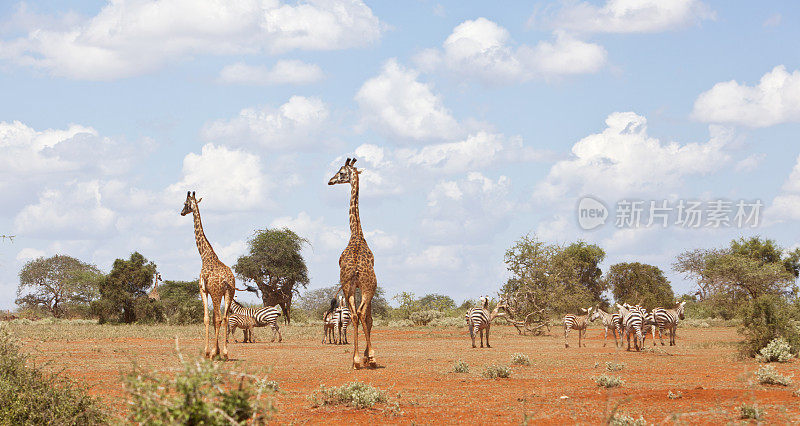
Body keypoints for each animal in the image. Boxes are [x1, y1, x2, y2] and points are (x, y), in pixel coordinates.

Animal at [179, 191, 234, 360]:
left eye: (185, 203)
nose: (181, 212)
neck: (204, 255)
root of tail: (228, 280)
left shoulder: (203, 290)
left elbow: (207, 318)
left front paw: (208, 351)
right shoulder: (212, 292)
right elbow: (214, 319)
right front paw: (217, 351)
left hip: (217, 293)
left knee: (219, 318)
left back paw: (215, 353)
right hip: (229, 293)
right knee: (225, 317)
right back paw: (225, 353)